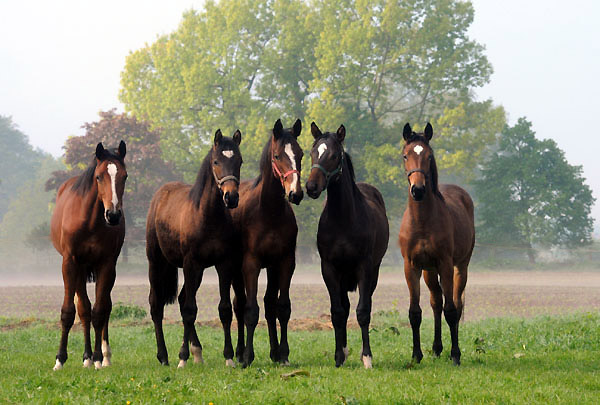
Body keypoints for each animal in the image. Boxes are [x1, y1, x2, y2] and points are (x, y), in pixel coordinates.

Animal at [50, 140, 127, 370]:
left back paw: (102, 355)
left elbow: (100, 311)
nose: (113, 215)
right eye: (99, 176)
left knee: (104, 307)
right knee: (83, 309)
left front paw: (99, 358)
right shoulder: (70, 263)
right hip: (80, 269)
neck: (90, 222)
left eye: (125, 176)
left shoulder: (107, 265)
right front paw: (60, 359)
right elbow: (71, 311)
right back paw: (86, 356)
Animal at [146, 129, 245, 366]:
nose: (231, 197)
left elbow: (224, 309)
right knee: (157, 305)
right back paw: (164, 356)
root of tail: (160, 194)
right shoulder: (191, 263)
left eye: (239, 160)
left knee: (183, 299)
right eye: (216, 161)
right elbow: (190, 310)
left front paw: (229, 357)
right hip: (157, 262)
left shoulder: (223, 265)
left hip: (197, 271)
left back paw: (197, 352)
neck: (207, 216)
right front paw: (182, 357)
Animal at [230, 117, 304, 366]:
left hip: (271, 268)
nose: (296, 193)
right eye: (278, 155)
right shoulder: (250, 264)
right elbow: (251, 311)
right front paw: (248, 357)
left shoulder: (285, 262)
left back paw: (273, 352)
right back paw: (239, 351)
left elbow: (282, 308)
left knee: (270, 304)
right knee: (239, 305)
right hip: (234, 270)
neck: (269, 213)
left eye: (300, 154)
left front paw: (283, 354)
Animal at [304, 121, 390, 368]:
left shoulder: (364, 268)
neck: (343, 220)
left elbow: (363, 312)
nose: (311, 187)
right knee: (344, 307)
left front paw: (367, 357)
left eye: (334, 155)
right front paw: (338, 356)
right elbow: (337, 312)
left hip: (373, 273)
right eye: (312, 153)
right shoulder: (329, 269)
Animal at [396, 121, 476, 364]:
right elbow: (415, 312)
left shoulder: (445, 264)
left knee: (456, 304)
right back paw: (437, 347)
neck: (422, 222)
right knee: (436, 302)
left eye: (429, 156)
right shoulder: (411, 267)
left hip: (460, 267)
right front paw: (416, 355)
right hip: (429, 272)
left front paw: (456, 354)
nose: (418, 189)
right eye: (405, 155)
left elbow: (451, 310)